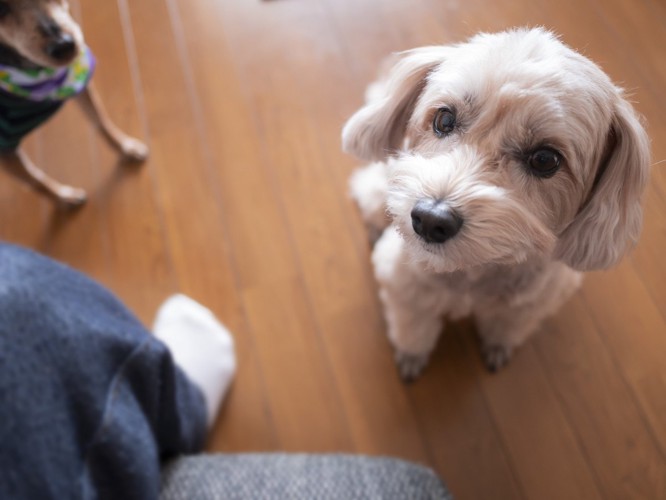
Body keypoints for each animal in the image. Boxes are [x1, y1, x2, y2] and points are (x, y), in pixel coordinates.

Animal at [0, 0, 147, 205]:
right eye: (0, 10)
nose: (62, 45)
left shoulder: (77, 82)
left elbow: (100, 120)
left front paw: (127, 147)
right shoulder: (5, 147)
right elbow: (36, 180)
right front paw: (64, 197)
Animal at [342, 27, 648, 378]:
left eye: (545, 159)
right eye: (444, 119)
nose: (430, 219)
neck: (476, 269)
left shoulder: (535, 300)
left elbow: (508, 326)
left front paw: (498, 345)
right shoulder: (404, 286)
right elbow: (414, 328)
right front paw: (411, 354)